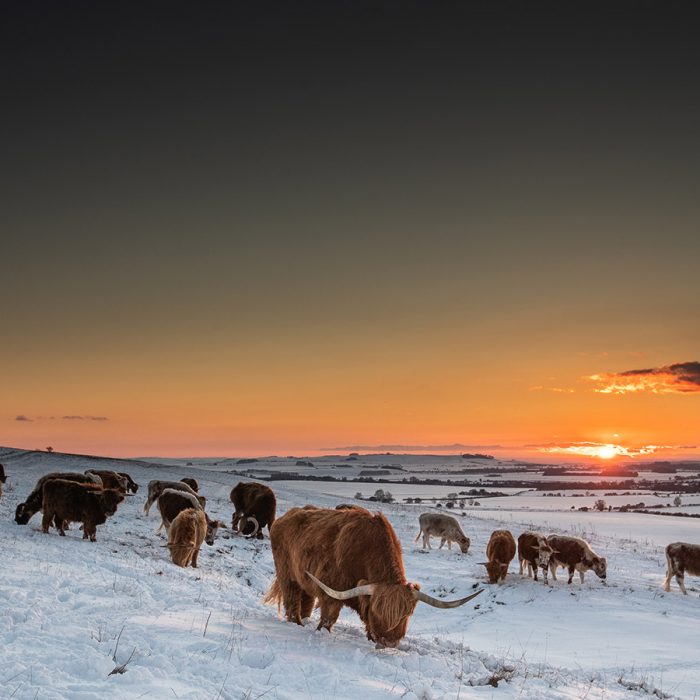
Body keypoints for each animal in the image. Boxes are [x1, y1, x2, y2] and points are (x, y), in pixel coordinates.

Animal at [262, 506, 482, 648]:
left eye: (407, 614)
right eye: (378, 610)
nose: (389, 642)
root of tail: (285, 517)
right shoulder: (332, 593)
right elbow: (328, 619)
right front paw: (320, 633)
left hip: (303, 578)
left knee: (306, 600)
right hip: (287, 574)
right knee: (292, 600)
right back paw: (297, 624)